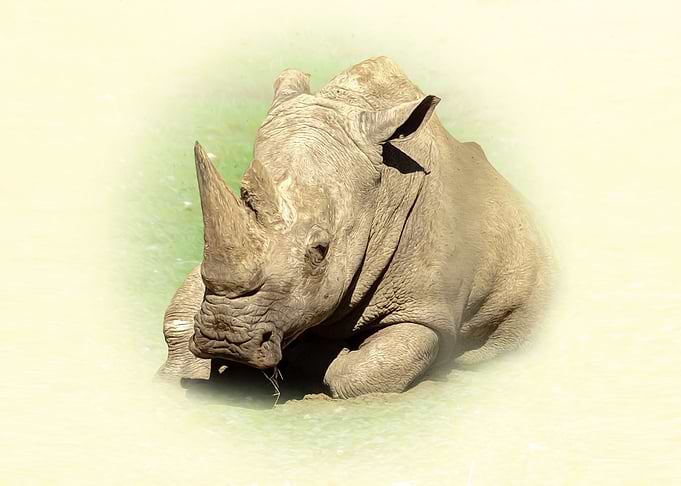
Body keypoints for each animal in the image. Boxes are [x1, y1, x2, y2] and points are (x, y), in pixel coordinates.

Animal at [157, 57, 551, 399]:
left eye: (320, 251)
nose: (226, 341)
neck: (381, 195)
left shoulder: (427, 310)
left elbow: (364, 371)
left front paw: (318, 355)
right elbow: (181, 308)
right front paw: (180, 374)